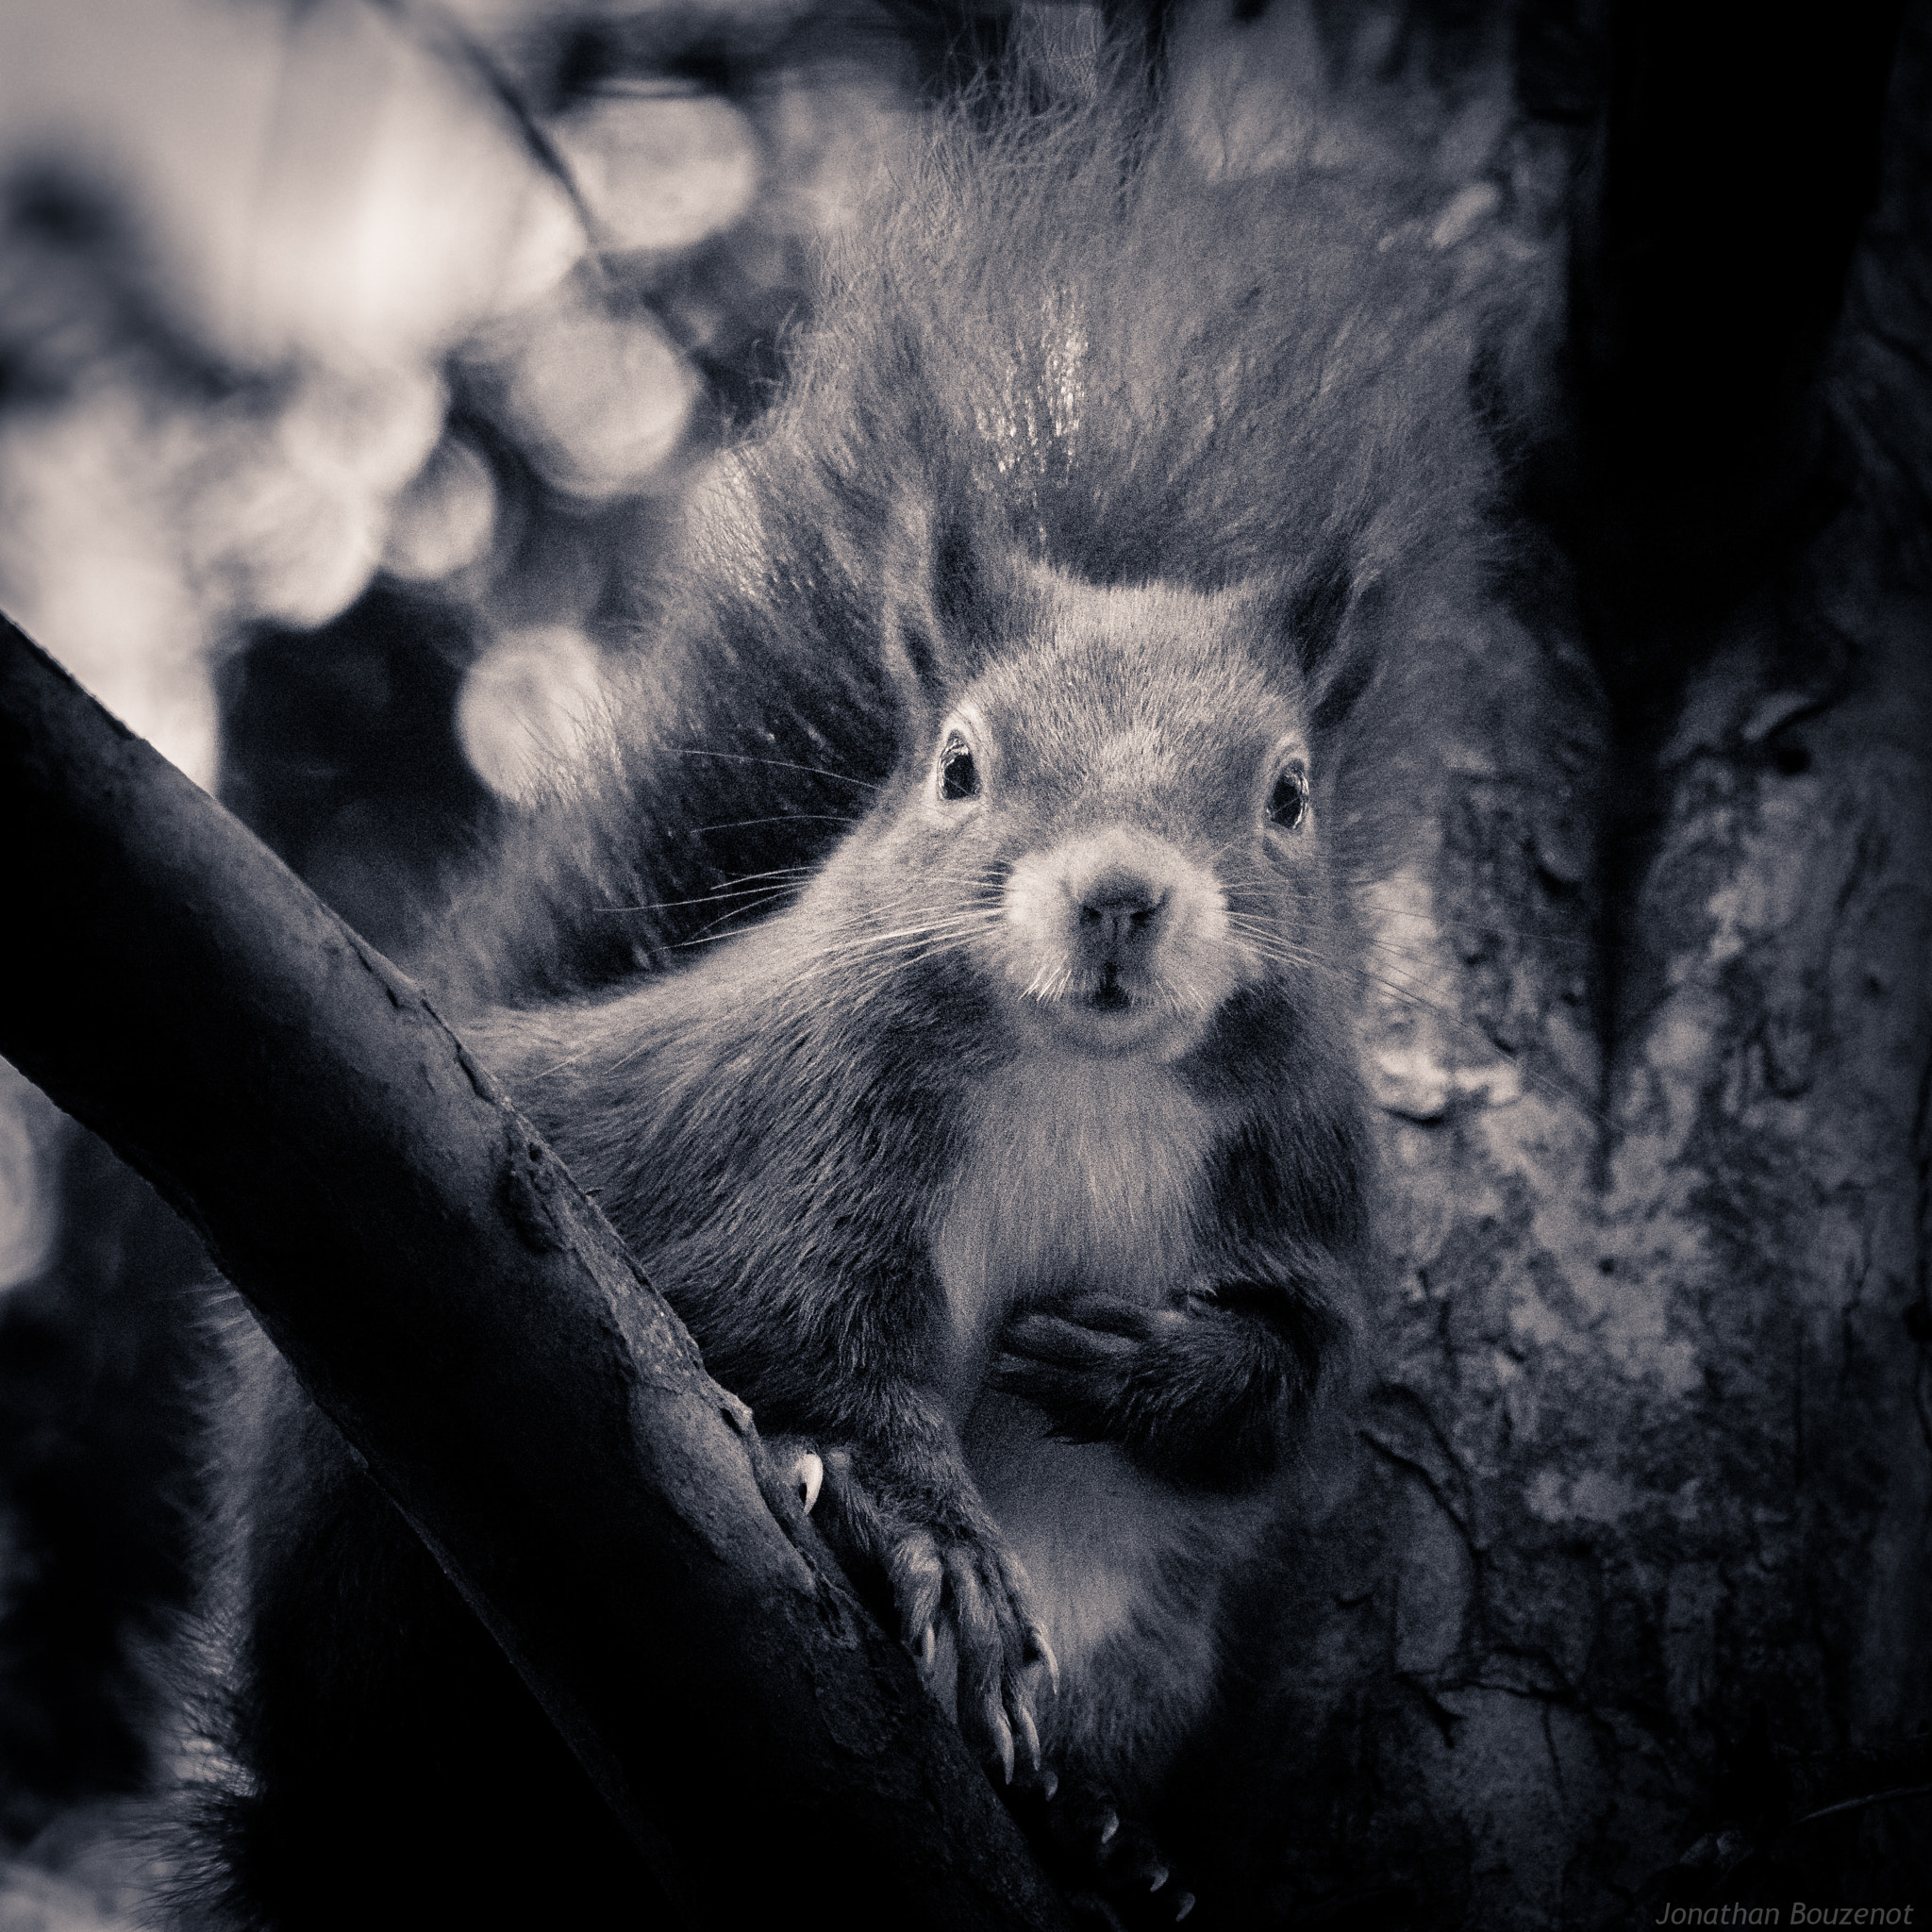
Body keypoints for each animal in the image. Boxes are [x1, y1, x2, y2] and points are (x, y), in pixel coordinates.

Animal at [184, 45, 1507, 1932]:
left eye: (1288, 793)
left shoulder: (1304, 1178)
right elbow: (801, 1330)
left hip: (1144, 1643)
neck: (1086, 1074)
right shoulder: (805, 1138)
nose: (1118, 895)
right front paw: (921, 1530)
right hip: (388, 1555)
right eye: (956, 764)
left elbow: (1298, 1382)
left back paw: (1100, 1840)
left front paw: (1144, 1365)